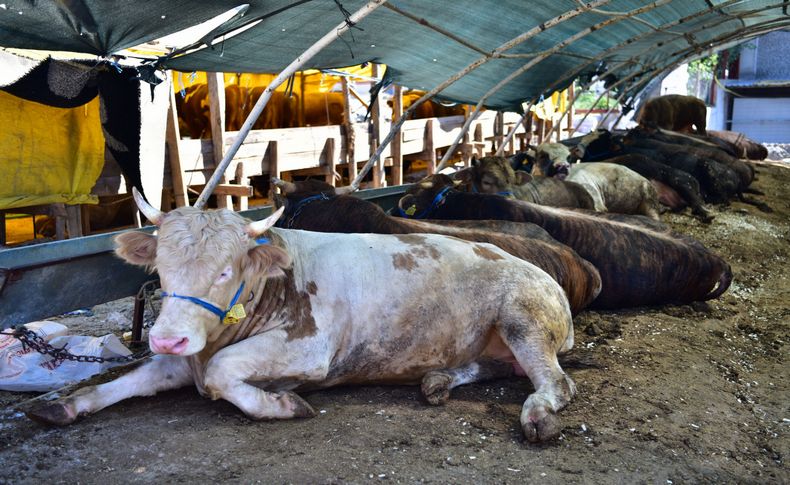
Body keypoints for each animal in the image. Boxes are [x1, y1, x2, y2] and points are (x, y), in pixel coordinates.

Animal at [27, 189, 580, 442]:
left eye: (226, 270)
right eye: (160, 268)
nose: (166, 338)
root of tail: (538, 269)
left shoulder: (308, 350)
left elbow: (225, 374)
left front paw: (284, 405)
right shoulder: (185, 358)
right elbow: (124, 381)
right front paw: (64, 405)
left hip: (523, 317)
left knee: (555, 383)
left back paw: (536, 415)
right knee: (490, 367)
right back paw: (437, 381)